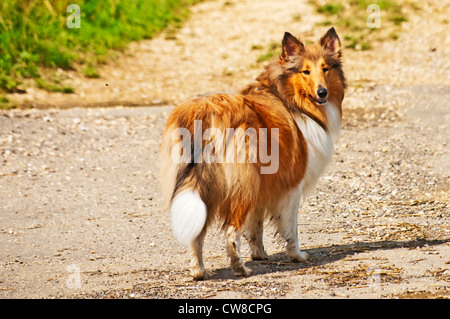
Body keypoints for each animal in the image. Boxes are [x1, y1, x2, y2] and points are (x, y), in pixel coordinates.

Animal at [160, 27, 346, 280]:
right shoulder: (291, 184)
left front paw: (260, 254)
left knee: (197, 232)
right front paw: (296, 255)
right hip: (242, 184)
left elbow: (255, 225)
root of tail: (205, 113)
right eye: (306, 71)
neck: (287, 95)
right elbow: (290, 227)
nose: (322, 92)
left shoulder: (263, 184)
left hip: (206, 185)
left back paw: (199, 271)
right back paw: (240, 268)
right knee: (231, 231)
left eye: (326, 68)